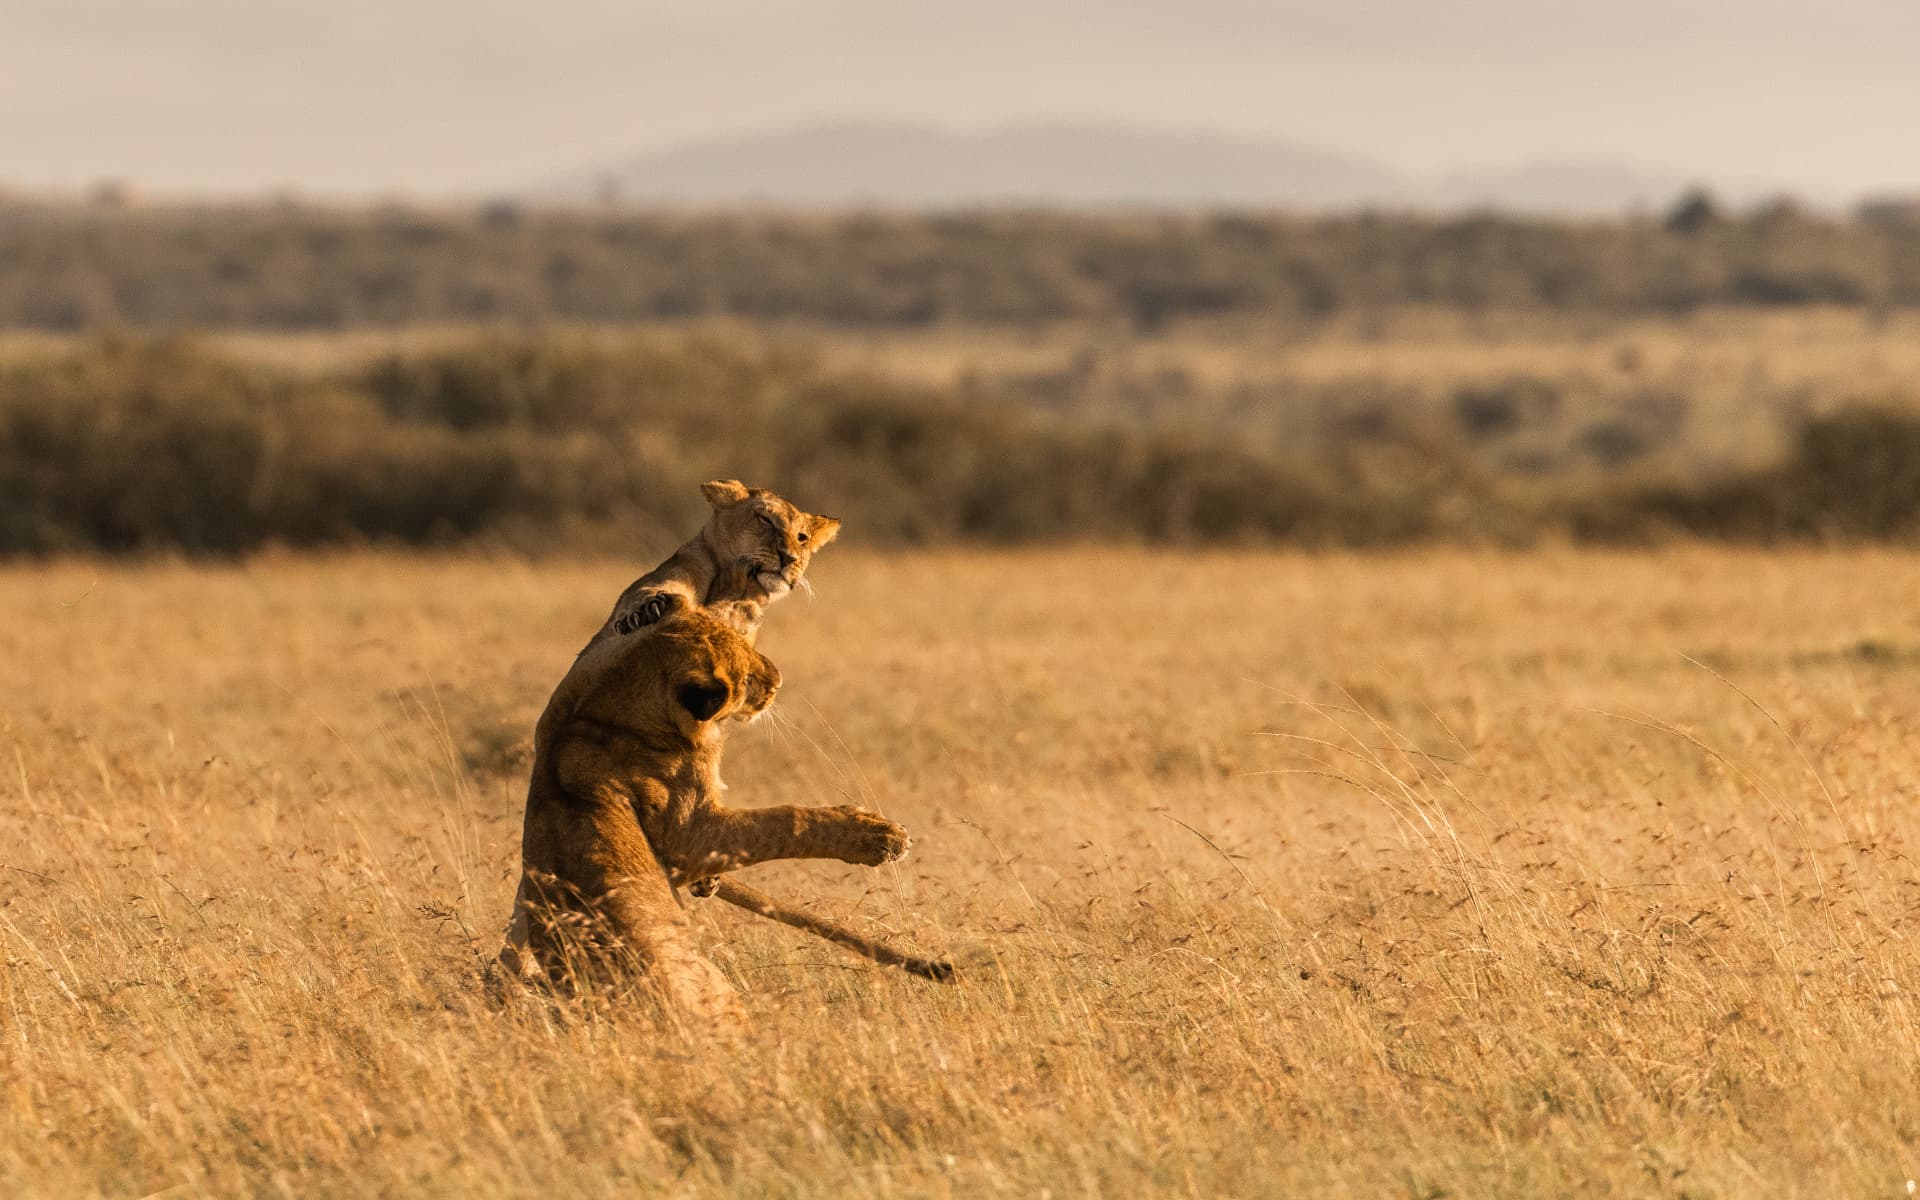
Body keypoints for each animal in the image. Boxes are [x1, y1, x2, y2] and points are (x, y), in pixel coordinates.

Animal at [499, 595, 914, 1023]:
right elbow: (784, 821)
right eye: (747, 678)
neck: (609, 714)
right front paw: (879, 836)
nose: (779, 679)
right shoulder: (690, 834)